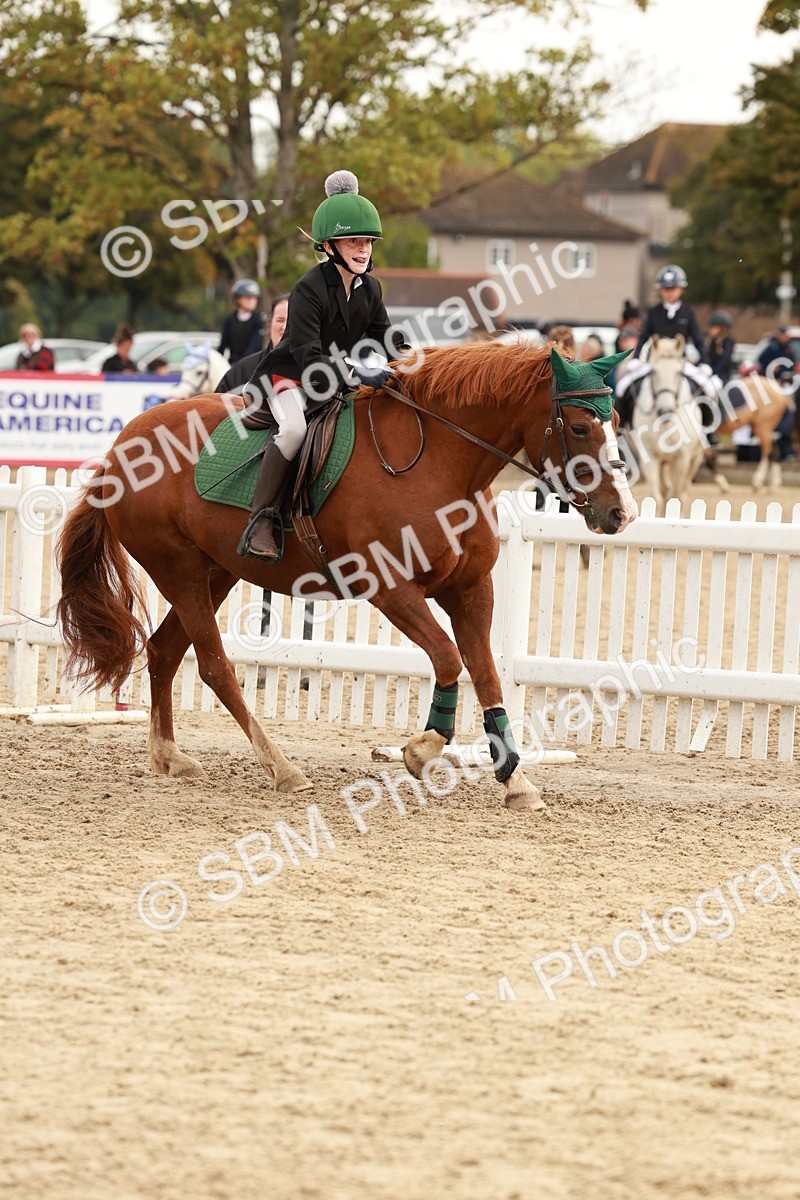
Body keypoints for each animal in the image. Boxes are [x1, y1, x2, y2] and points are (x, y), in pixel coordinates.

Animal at [55, 341, 637, 813]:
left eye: (615, 421)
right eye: (580, 428)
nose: (621, 514)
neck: (443, 466)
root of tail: (123, 443)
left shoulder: (472, 592)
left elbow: (489, 677)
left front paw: (516, 782)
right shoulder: (392, 590)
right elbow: (449, 659)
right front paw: (421, 750)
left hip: (213, 572)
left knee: (164, 650)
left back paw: (170, 756)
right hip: (179, 570)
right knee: (216, 668)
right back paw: (282, 768)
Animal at [626, 335, 706, 515]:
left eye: (679, 372)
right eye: (654, 372)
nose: (665, 410)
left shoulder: (682, 459)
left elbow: (675, 497)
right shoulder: (650, 457)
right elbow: (656, 497)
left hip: (695, 459)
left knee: (683, 490)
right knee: (665, 489)